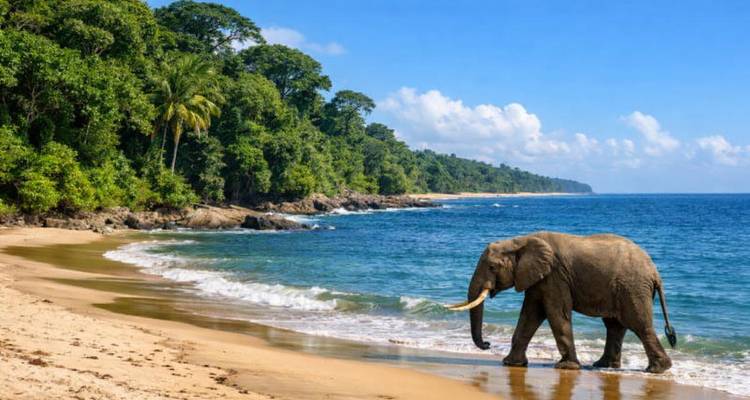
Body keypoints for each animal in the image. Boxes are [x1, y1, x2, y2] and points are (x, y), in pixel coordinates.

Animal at [445, 231, 677, 373]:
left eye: (492, 267)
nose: (487, 344)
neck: (520, 240)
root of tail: (655, 272)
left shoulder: (555, 276)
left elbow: (556, 313)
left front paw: (566, 367)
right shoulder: (539, 278)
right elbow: (530, 314)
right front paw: (512, 364)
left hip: (632, 288)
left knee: (637, 323)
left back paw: (657, 369)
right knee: (614, 325)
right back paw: (603, 366)